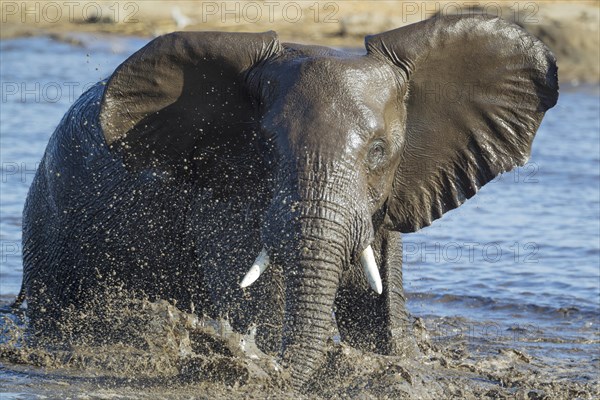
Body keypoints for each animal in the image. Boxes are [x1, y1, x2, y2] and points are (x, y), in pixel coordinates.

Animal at [19, 14, 556, 388]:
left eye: (379, 151)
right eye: (268, 145)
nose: (269, 372)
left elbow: (377, 304)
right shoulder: (222, 193)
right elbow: (256, 296)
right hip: (46, 221)